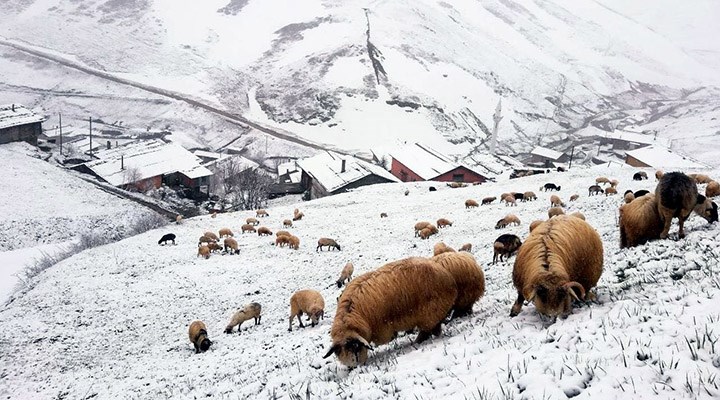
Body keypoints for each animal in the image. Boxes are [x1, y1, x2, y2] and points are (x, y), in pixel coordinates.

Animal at [322, 258, 456, 368]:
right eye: (339, 353)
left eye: (355, 347)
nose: (354, 367)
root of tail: (447, 276)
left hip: (430, 313)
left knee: (429, 330)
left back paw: (418, 341)